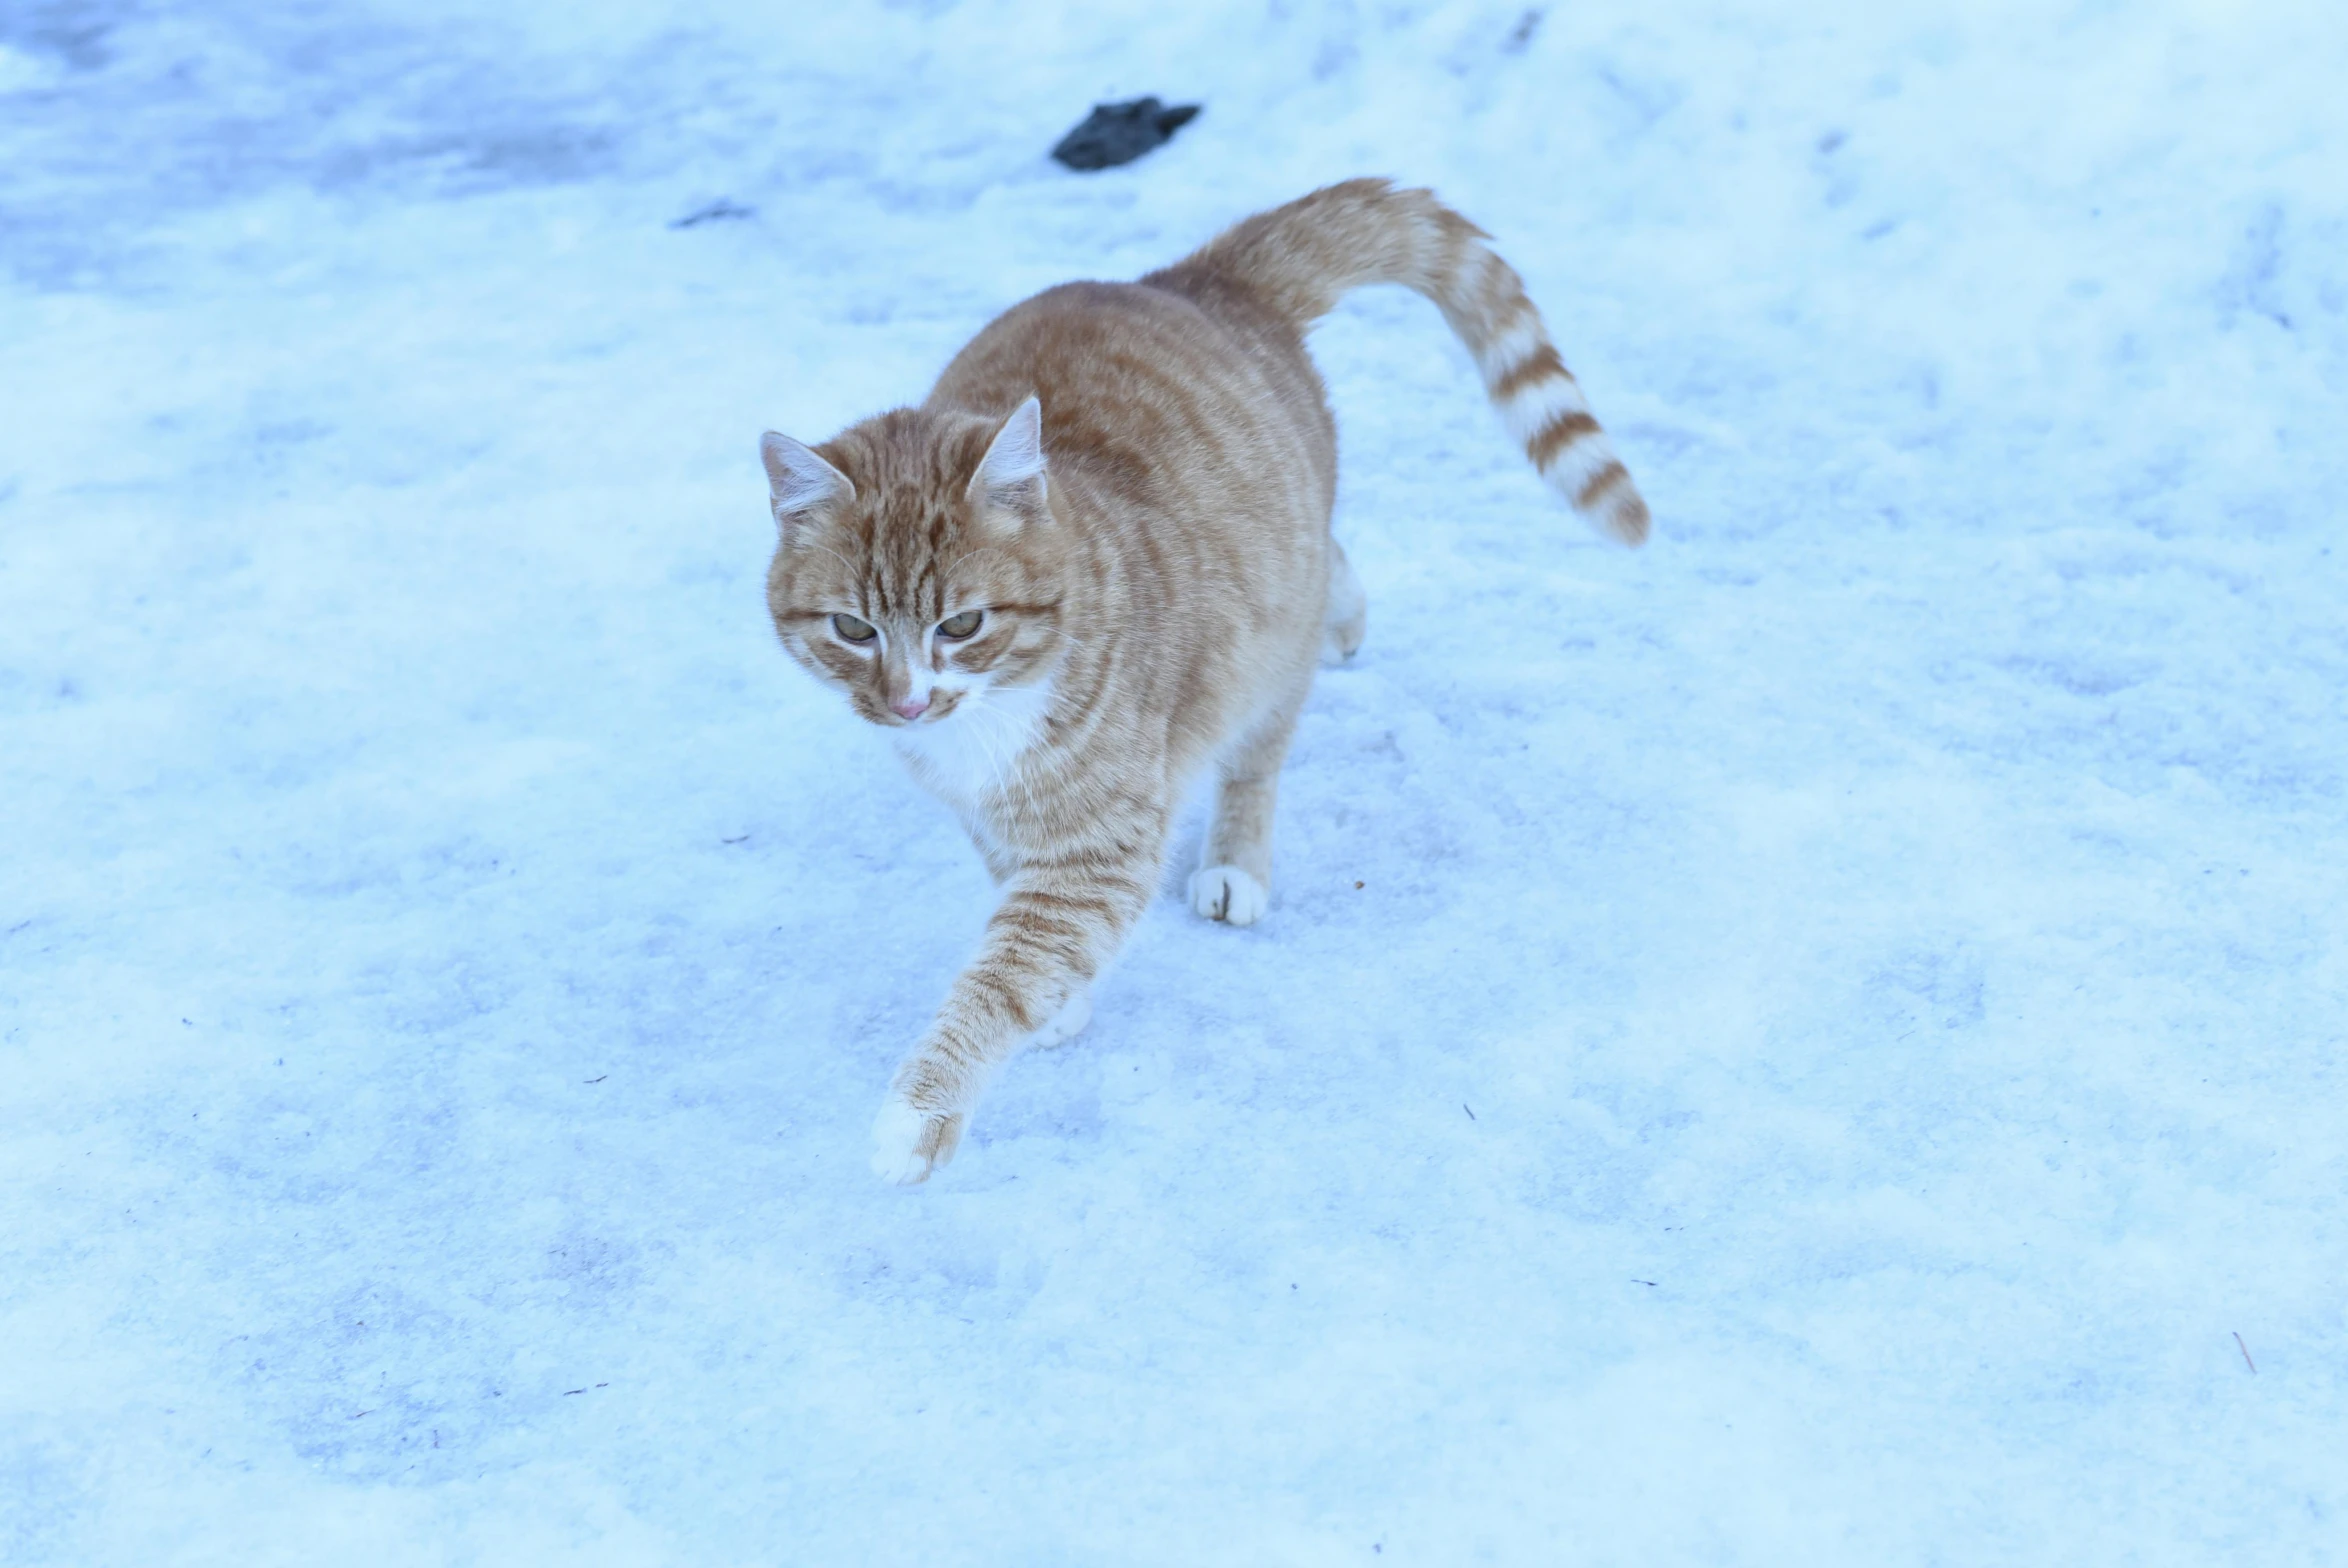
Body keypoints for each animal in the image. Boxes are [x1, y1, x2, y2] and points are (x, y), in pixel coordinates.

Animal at [760, 177, 1643, 1183]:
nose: (906, 702)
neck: (985, 720)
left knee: (1259, 751)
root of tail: (1194, 279)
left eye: (963, 625)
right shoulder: (984, 812)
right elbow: (1017, 908)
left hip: (1267, 647)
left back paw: (1235, 860)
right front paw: (1056, 1001)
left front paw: (923, 1108)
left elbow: (1011, 967)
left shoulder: (1103, 844)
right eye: (852, 629)